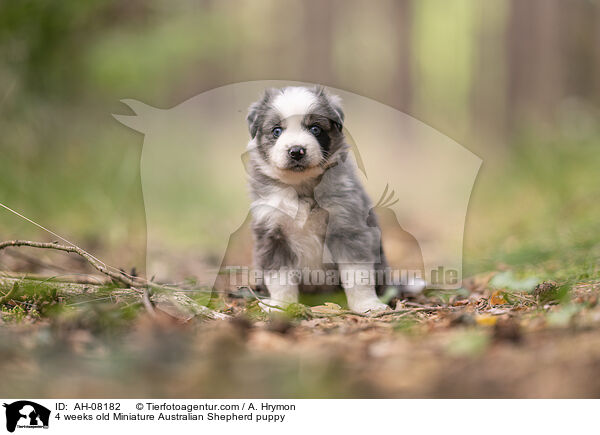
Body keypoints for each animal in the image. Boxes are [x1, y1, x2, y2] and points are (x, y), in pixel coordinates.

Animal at [244, 86, 404, 314]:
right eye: (276, 131)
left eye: (315, 129)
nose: (296, 151)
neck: (302, 188)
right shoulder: (272, 233)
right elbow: (280, 277)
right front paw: (281, 306)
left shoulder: (348, 227)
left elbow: (358, 275)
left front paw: (367, 305)